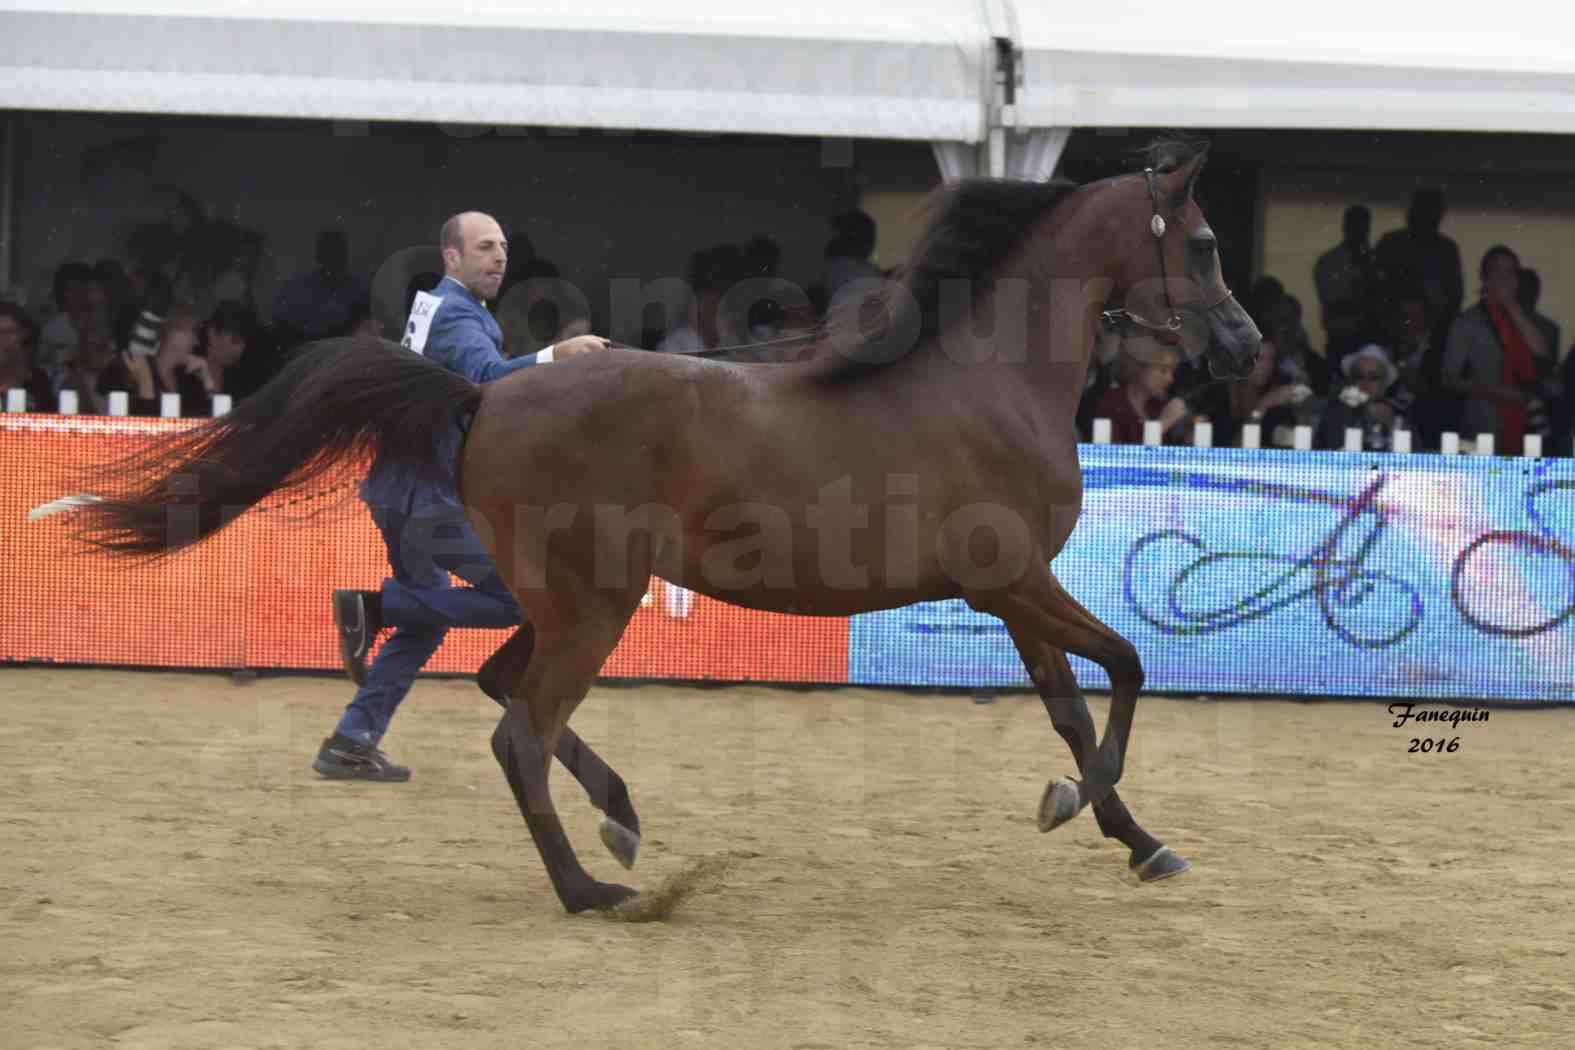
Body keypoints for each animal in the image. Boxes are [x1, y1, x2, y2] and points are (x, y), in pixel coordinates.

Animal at [74, 137, 1260, 913]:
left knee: (502, 687)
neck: (988, 381)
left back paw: (618, 820)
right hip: (590, 603)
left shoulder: (1009, 595)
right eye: (1204, 241)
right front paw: (1073, 808)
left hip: (565, 601)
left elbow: (1072, 706)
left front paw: (1139, 841)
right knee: (517, 727)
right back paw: (592, 888)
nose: (1245, 344)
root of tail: (484, 394)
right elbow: (1127, 671)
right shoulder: (1016, 582)